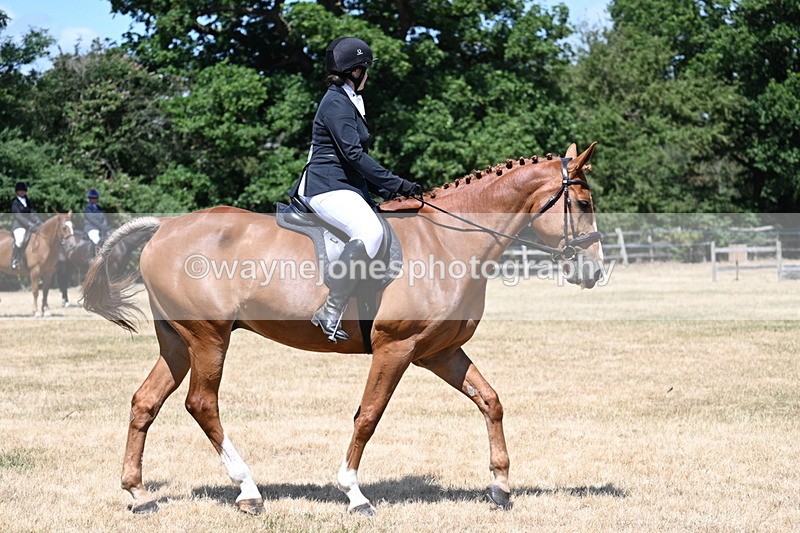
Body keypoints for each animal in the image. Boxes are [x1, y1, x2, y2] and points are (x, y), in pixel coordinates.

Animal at [82, 143, 604, 515]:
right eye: (582, 202)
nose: (595, 272)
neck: (448, 242)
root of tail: (164, 227)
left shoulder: (438, 353)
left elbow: (490, 401)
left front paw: (500, 485)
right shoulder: (396, 348)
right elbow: (368, 416)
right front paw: (354, 494)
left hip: (177, 341)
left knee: (145, 402)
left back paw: (139, 494)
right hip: (209, 337)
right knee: (201, 403)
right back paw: (248, 490)